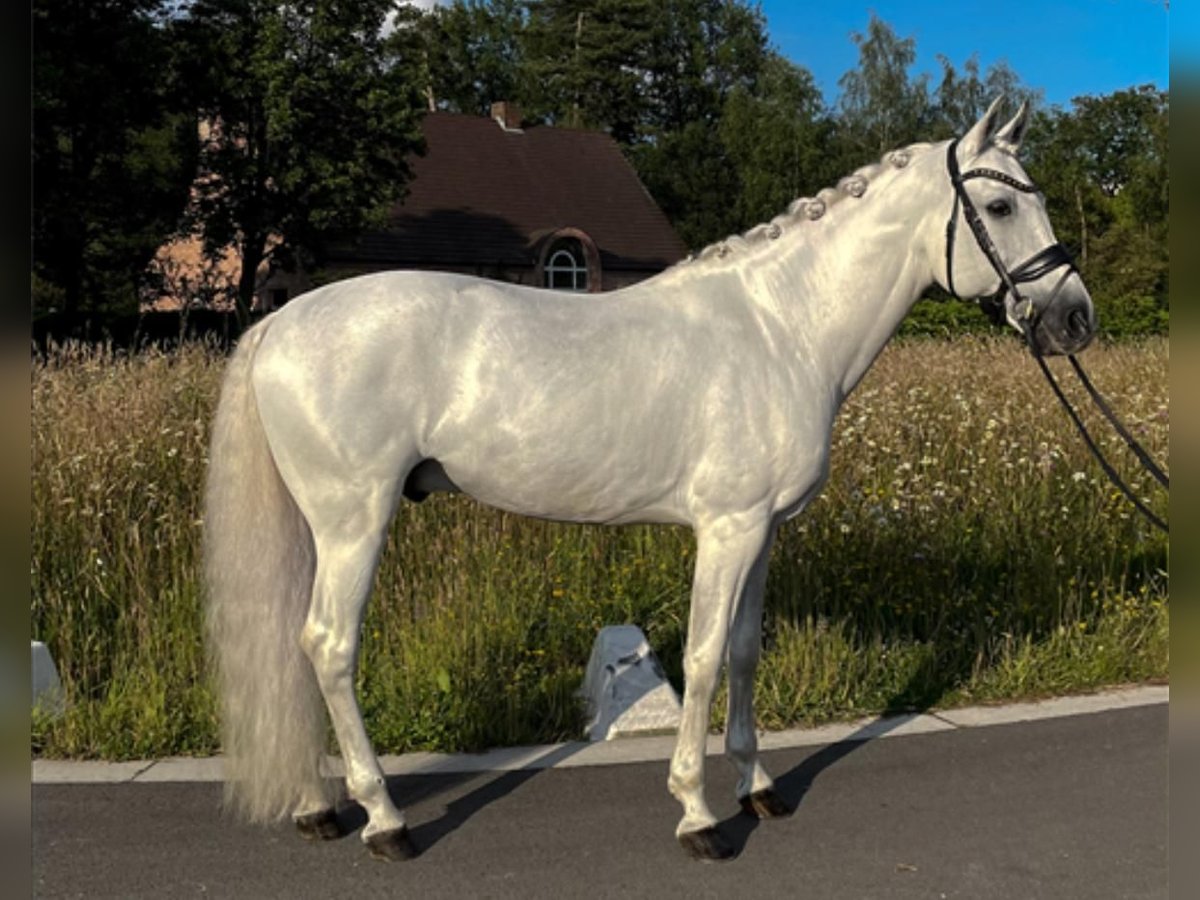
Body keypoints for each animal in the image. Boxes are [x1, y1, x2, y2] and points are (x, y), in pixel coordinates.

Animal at [204, 97, 1099, 859]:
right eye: (1000, 208)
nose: (1074, 317)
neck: (782, 327)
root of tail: (282, 321)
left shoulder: (763, 532)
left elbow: (743, 652)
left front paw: (758, 789)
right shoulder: (727, 529)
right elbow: (701, 658)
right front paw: (698, 814)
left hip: (317, 528)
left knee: (296, 650)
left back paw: (318, 807)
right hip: (354, 521)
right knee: (330, 646)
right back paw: (385, 819)